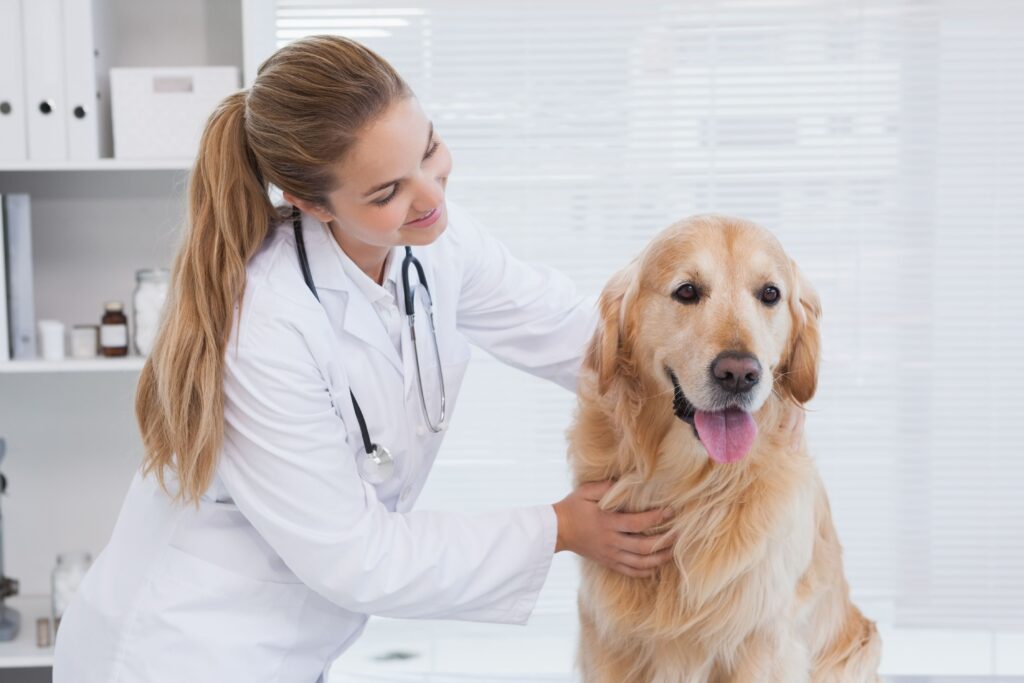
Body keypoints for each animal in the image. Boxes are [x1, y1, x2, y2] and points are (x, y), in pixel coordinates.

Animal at [569, 215, 880, 683]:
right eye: (687, 291)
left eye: (770, 293)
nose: (739, 374)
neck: (692, 486)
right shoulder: (607, 637)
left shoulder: (761, 640)